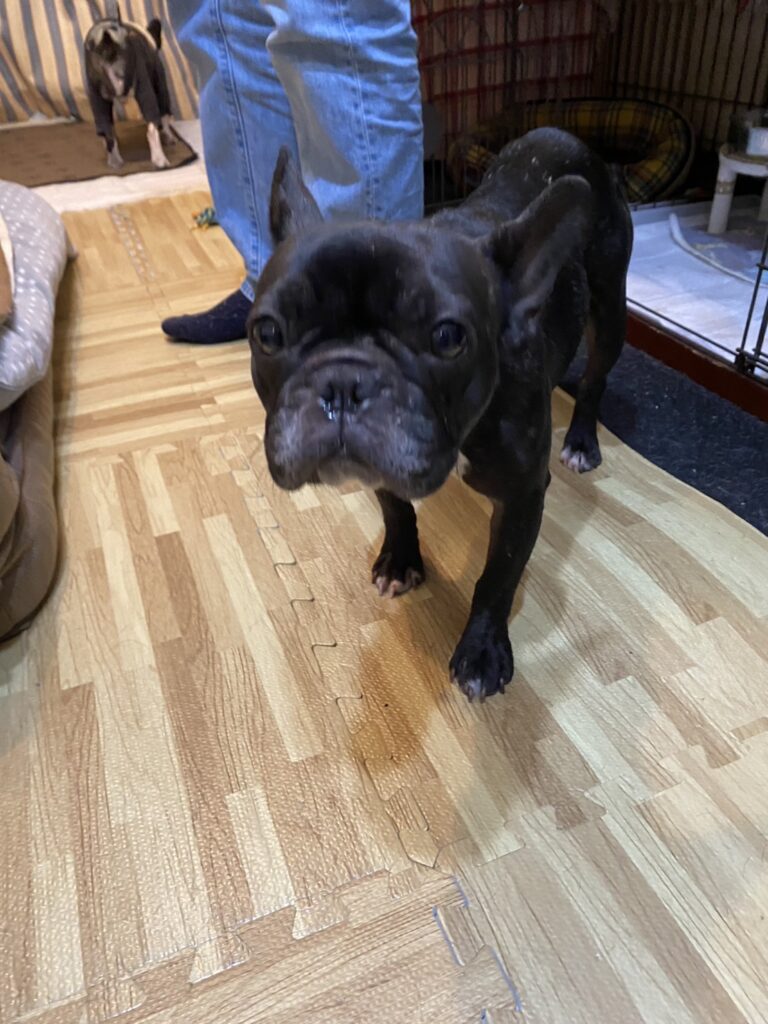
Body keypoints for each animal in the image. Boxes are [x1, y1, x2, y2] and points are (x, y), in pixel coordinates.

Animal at [84, 6, 175, 171]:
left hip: (96, 97)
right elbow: (164, 117)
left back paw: (114, 161)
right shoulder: (158, 83)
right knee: (152, 128)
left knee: (107, 131)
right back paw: (160, 160)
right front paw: (169, 136)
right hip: (149, 89)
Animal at [247, 127, 633, 701]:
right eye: (267, 332)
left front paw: (482, 651)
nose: (343, 382)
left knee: (595, 379)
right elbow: (396, 508)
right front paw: (401, 560)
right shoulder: (384, 469)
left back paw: (583, 441)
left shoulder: (523, 493)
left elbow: (498, 575)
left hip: (610, 308)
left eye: (448, 338)